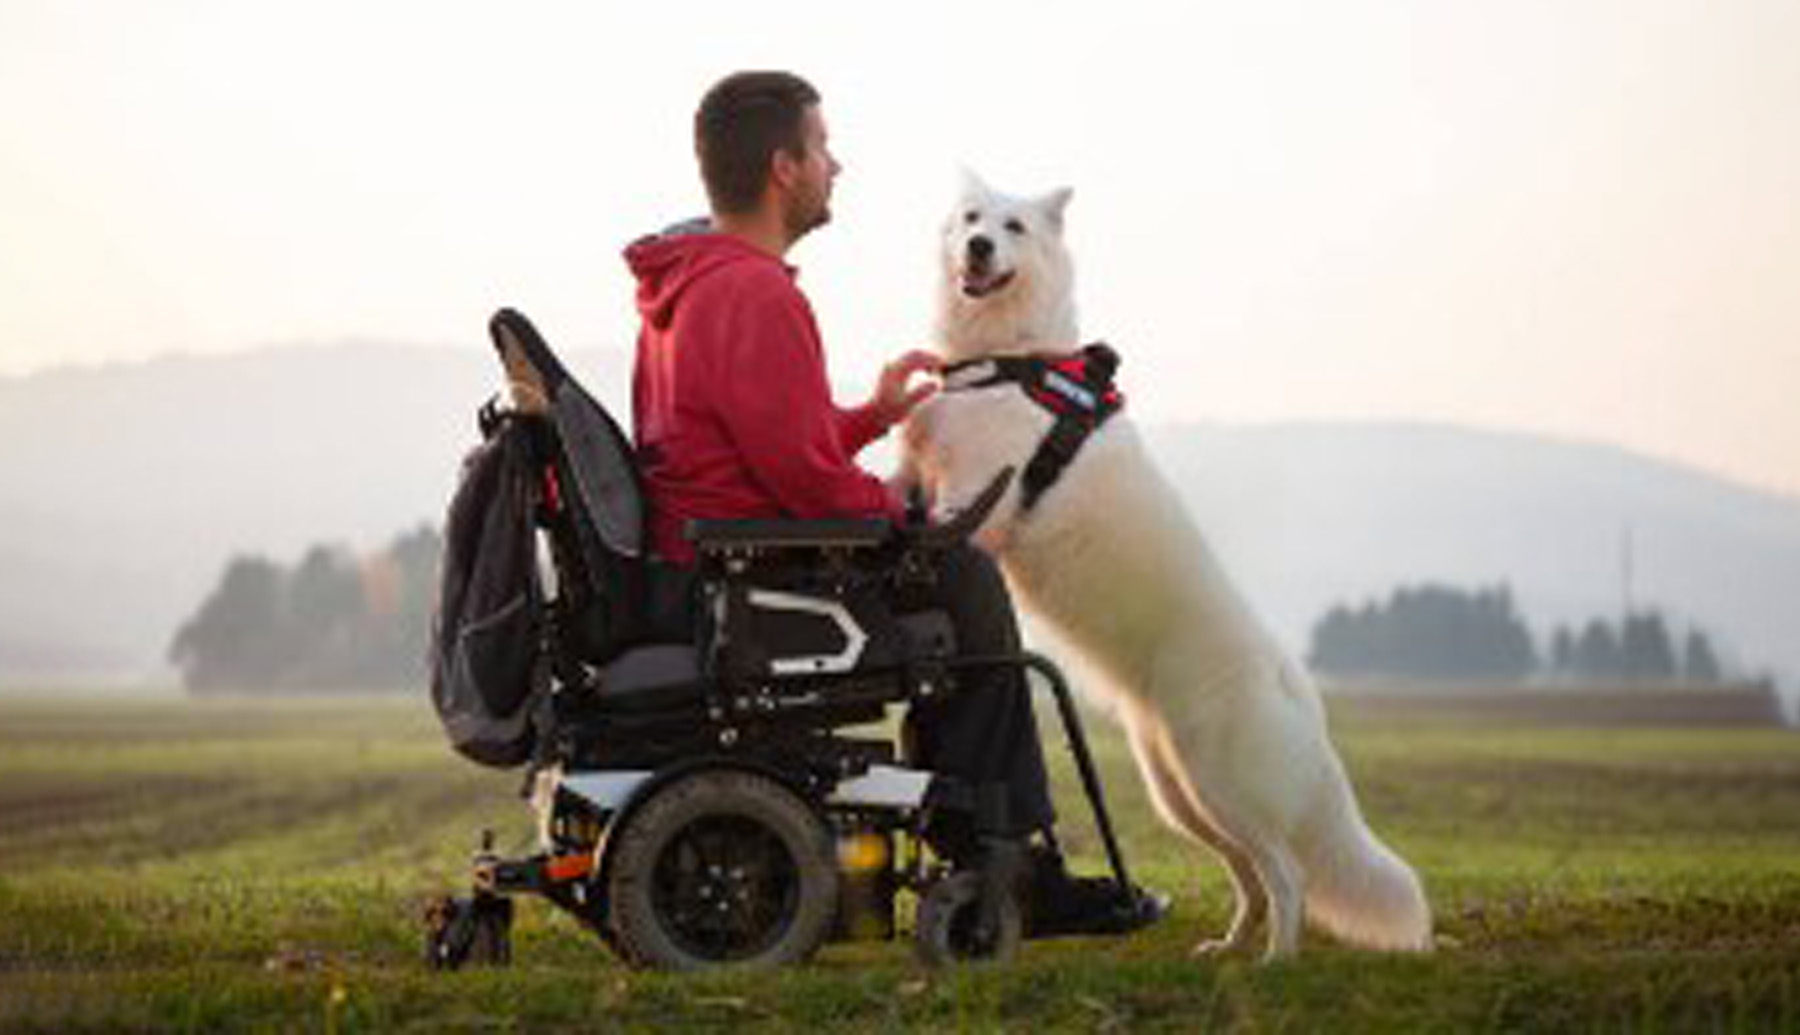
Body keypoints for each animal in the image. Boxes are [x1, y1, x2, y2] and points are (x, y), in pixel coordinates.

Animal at [900, 171, 1432, 964]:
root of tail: (1295, 686)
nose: (979, 246)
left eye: (1014, 227)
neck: (1011, 357)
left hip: (1218, 782)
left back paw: (1274, 962)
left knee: (1288, 875)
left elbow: (936, 523)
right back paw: (1227, 949)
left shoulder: (974, 500)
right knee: (1252, 876)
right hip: (1181, 792)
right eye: (970, 218)